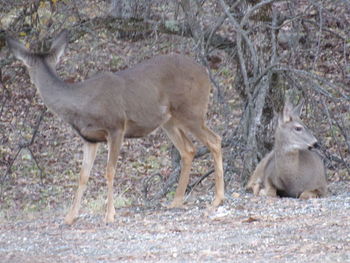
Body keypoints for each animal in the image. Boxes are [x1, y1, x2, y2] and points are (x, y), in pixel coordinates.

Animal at [7, 30, 224, 225]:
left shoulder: (116, 126)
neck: (81, 103)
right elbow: (83, 175)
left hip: (192, 111)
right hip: (169, 120)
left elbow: (109, 170)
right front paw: (69, 218)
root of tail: (205, 72)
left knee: (214, 140)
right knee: (189, 149)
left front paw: (109, 215)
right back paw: (176, 201)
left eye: (26, 67)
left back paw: (217, 199)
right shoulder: (89, 139)